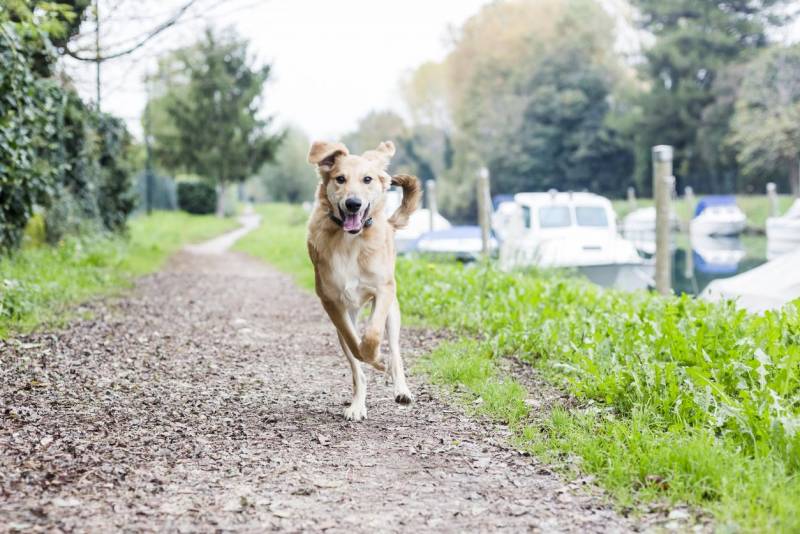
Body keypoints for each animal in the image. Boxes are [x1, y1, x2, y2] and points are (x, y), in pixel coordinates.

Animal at [304, 139, 422, 422]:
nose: (353, 204)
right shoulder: (332, 303)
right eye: (340, 179)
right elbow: (355, 344)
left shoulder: (383, 291)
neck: (350, 241)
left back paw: (400, 387)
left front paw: (378, 358)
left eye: (367, 179)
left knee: (395, 351)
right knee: (357, 368)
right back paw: (358, 404)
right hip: (348, 315)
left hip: (393, 311)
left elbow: (372, 335)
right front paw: (373, 360)